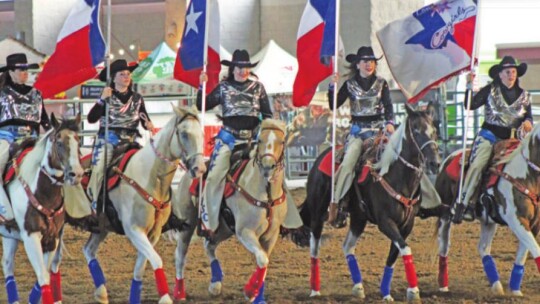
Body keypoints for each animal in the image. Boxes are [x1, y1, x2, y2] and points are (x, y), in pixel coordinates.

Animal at [0, 114, 83, 304]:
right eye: (59, 142)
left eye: (78, 141)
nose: (76, 174)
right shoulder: (30, 236)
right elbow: (43, 277)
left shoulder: (52, 239)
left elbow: (44, 274)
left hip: (9, 234)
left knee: (7, 265)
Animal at [172, 119, 292, 302]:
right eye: (260, 141)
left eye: (282, 141)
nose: (267, 167)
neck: (266, 194)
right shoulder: (245, 231)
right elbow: (262, 259)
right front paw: (250, 291)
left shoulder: (271, 235)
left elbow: (263, 262)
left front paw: (258, 297)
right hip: (188, 224)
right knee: (180, 255)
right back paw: (179, 293)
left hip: (223, 228)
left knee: (209, 245)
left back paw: (215, 283)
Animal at [294, 104, 440, 302]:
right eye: (416, 130)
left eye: (434, 130)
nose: (435, 163)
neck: (395, 175)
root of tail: (318, 160)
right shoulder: (385, 222)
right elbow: (405, 249)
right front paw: (413, 291)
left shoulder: (406, 225)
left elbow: (395, 254)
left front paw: (388, 292)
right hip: (318, 215)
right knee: (314, 247)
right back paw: (315, 290)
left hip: (358, 218)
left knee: (347, 246)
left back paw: (358, 287)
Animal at [436, 121, 540, 296]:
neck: (526, 175)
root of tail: (449, 157)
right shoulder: (516, 220)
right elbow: (535, 251)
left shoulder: (534, 224)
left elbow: (524, 254)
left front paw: (515, 291)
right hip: (445, 216)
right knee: (444, 246)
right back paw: (443, 286)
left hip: (488, 221)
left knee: (483, 248)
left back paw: (497, 286)